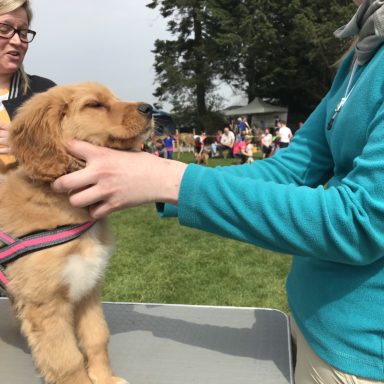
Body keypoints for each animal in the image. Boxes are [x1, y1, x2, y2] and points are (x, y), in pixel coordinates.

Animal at [0, 82, 153, 384]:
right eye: (94, 104)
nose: (150, 108)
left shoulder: (88, 286)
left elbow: (97, 338)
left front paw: (105, 378)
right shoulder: (46, 304)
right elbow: (67, 360)